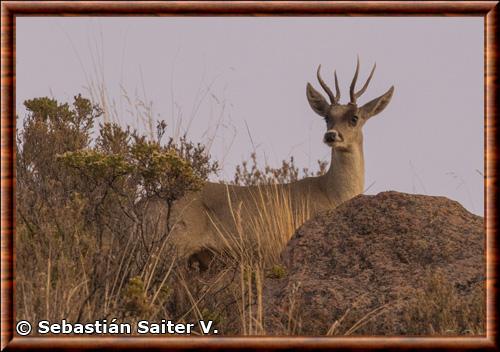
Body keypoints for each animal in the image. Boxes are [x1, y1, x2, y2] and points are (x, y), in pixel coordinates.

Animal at [145, 59, 394, 270]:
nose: (331, 135)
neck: (331, 192)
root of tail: (142, 205)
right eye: (327, 117)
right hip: (168, 247)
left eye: (354, 118)